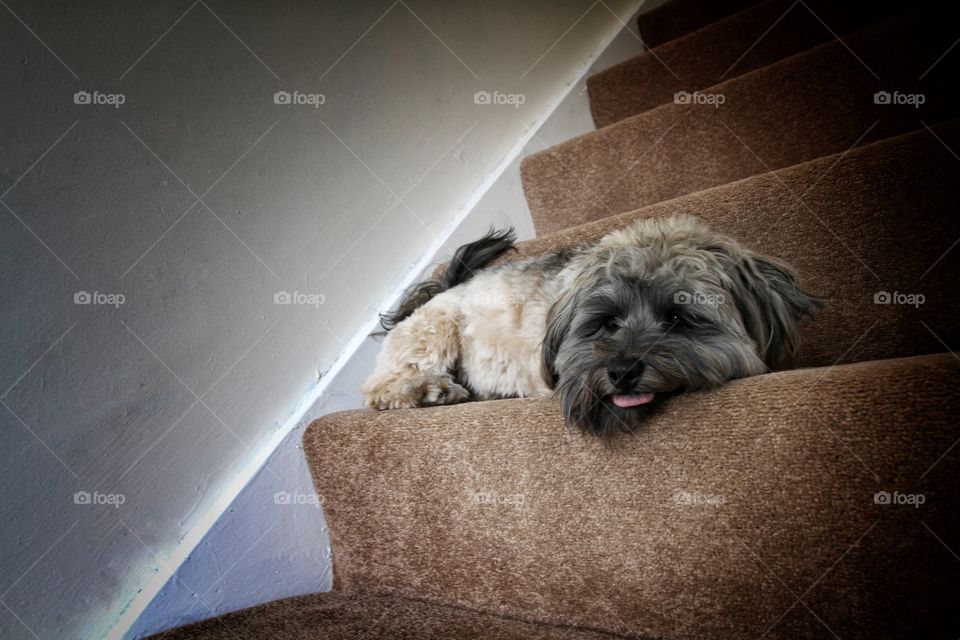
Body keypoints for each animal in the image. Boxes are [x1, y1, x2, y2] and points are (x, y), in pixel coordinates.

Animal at [364, 215, 820, 436]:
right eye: (607, 322)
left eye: (678, 317)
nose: (621, 372)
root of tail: (449, 286)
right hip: (435, 329)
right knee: (378, 389)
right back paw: (428, 391)